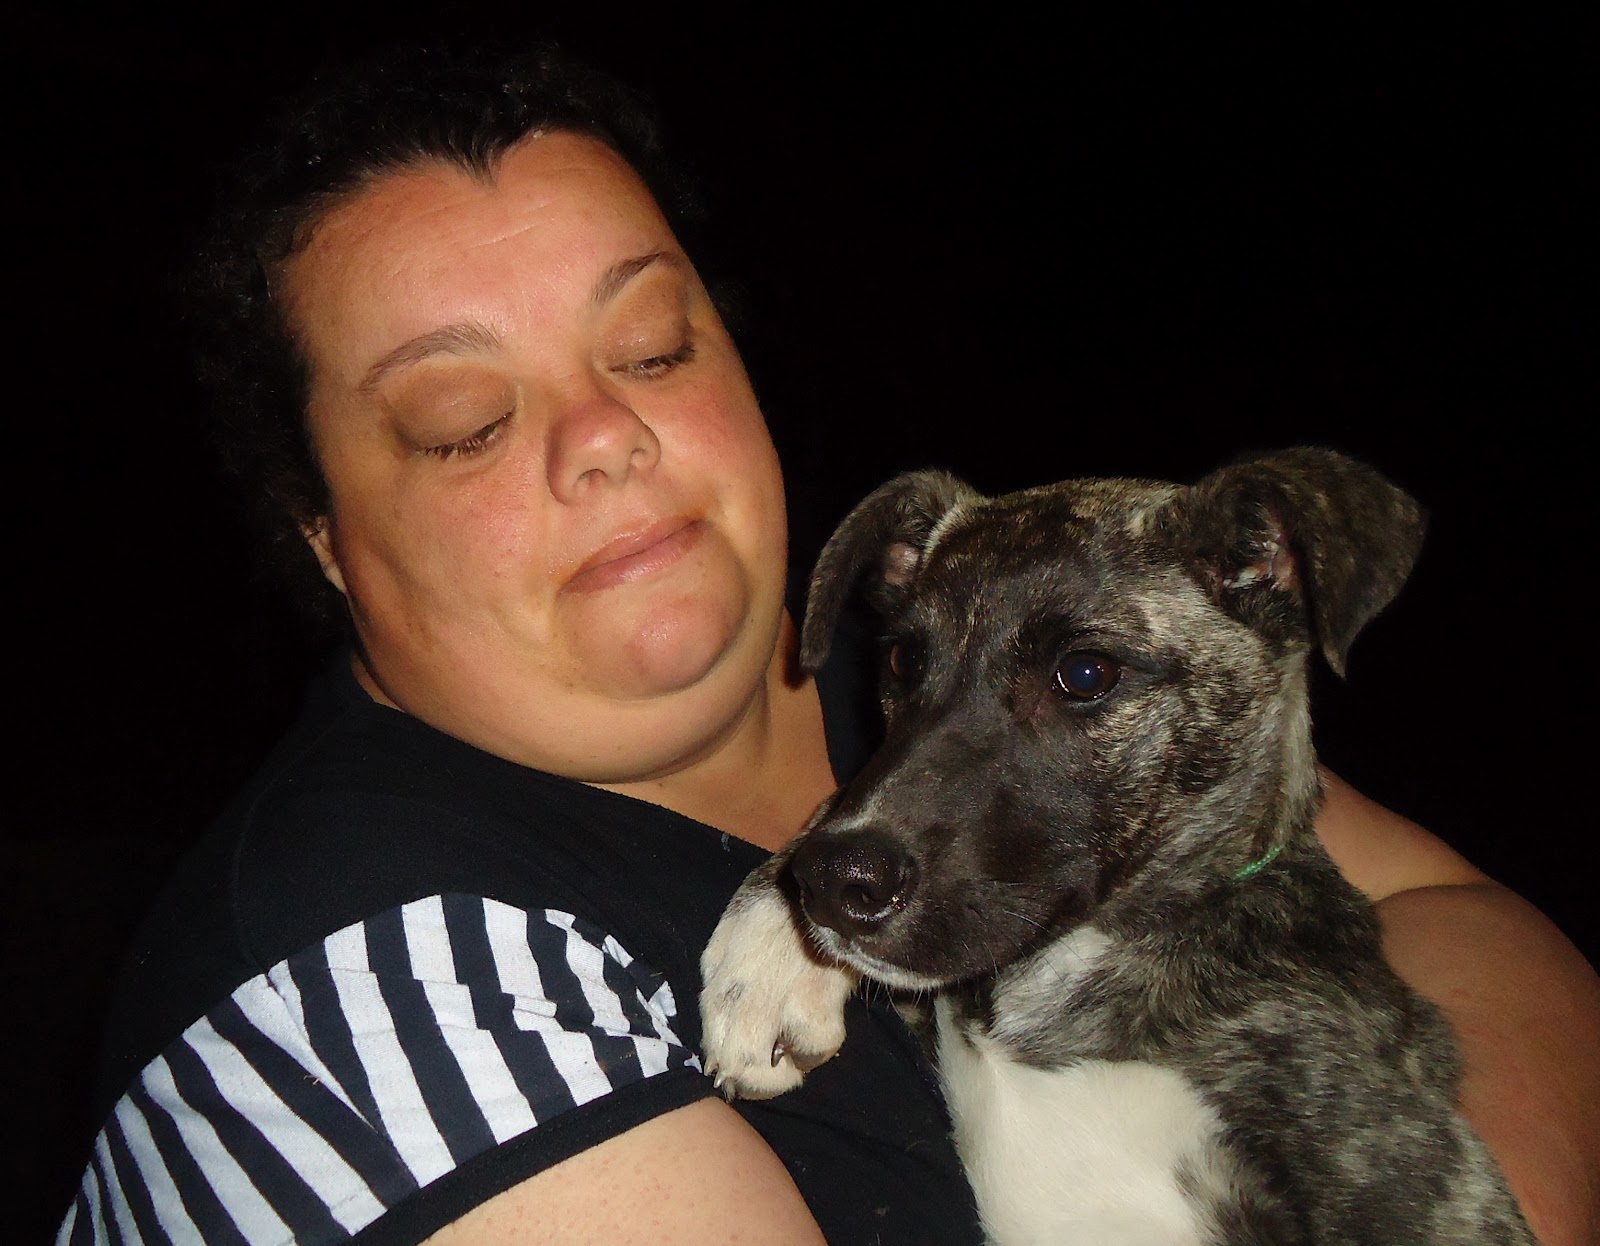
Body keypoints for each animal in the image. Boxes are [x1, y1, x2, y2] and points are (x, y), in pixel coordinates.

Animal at [700, 449, 1533, 1245]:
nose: (835, 885)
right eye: (903, 660)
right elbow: (844, 803)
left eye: (1085, 673)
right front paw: (767, 966)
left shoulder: (1423, 1192)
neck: (1079, 961)